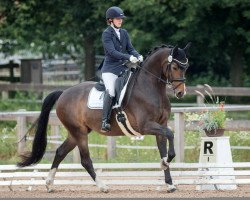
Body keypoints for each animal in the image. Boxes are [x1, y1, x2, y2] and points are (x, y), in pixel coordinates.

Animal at [17, 43, 190, 193]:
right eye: (175, 67)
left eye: (186, 68)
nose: (181, 93)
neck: (150, 88)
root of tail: (63, 92)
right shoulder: (145, 126)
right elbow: (170, 135)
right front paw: (166, 162)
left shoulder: (161, 124)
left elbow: (164, 147)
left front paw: (169, 182)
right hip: (79, 132)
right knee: (85, 160)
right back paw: (102, 186)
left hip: (77, 132)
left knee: (60, 152)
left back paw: (49, 184)